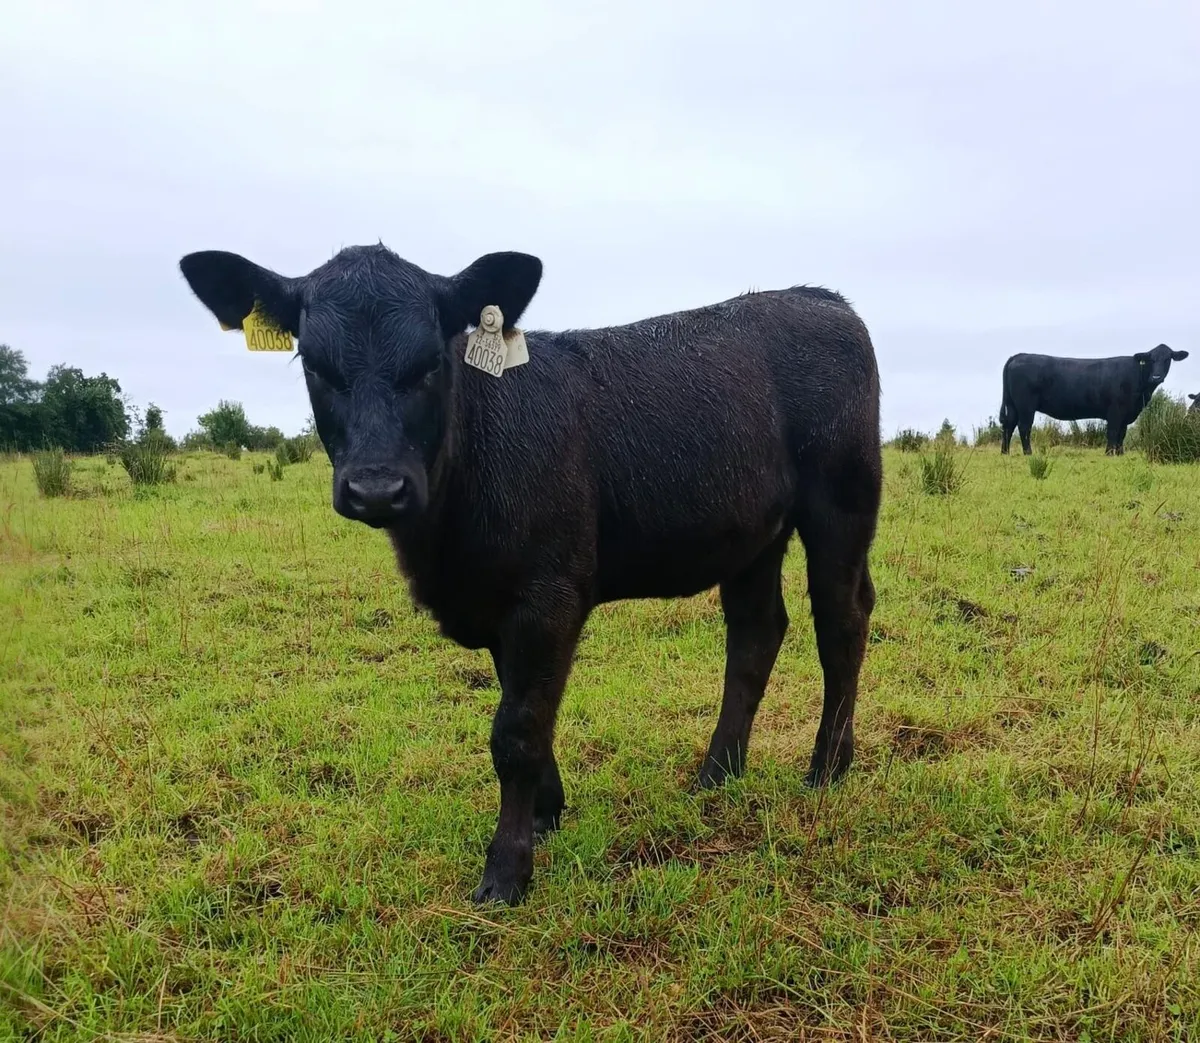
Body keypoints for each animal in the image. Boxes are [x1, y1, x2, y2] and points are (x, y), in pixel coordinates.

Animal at [178, 244, 883, 905]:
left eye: (432, 363)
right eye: (316, 368)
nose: (377, 488)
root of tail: (818, 298)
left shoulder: (549, 597)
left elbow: (515, 730)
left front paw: (506, 870)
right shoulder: (498, 605)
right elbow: (525, 710)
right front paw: (546, 815)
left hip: (842, 501)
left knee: (841, 622)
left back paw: (827, 768)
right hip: (753, 534)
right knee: (755, 633)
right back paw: (718, 773)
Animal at [999, 344, 1189, 455]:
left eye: (1167, 359)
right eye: (1151, 360)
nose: (1156, 377)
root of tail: (1018, 356)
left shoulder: (1126, 415)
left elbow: (1122, 435)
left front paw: (1120, 454)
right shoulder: (1115, 411)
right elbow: (1112, 432)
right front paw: (1109, 453)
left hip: (1013, 405)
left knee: (1008, 426)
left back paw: (1005, 452)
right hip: (1026, 406)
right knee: (1024, 427)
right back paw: (1028, 453)